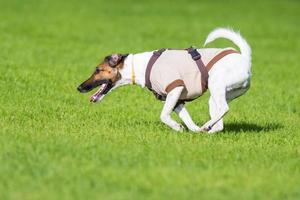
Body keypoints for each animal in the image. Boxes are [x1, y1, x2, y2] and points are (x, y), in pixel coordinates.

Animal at [77, 27, 251, 133]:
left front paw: (177, 126)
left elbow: (163, 116)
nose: (79, 87)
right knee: (219, 121)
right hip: (218, 96)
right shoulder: (176, 100)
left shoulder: (175, 89)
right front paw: (189, 130)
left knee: (224, 109)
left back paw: (207, 125)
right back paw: (208, 130)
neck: (139, 66)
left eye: (98, 70)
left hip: (216, 85)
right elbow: (188, 121)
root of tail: (244, 59)